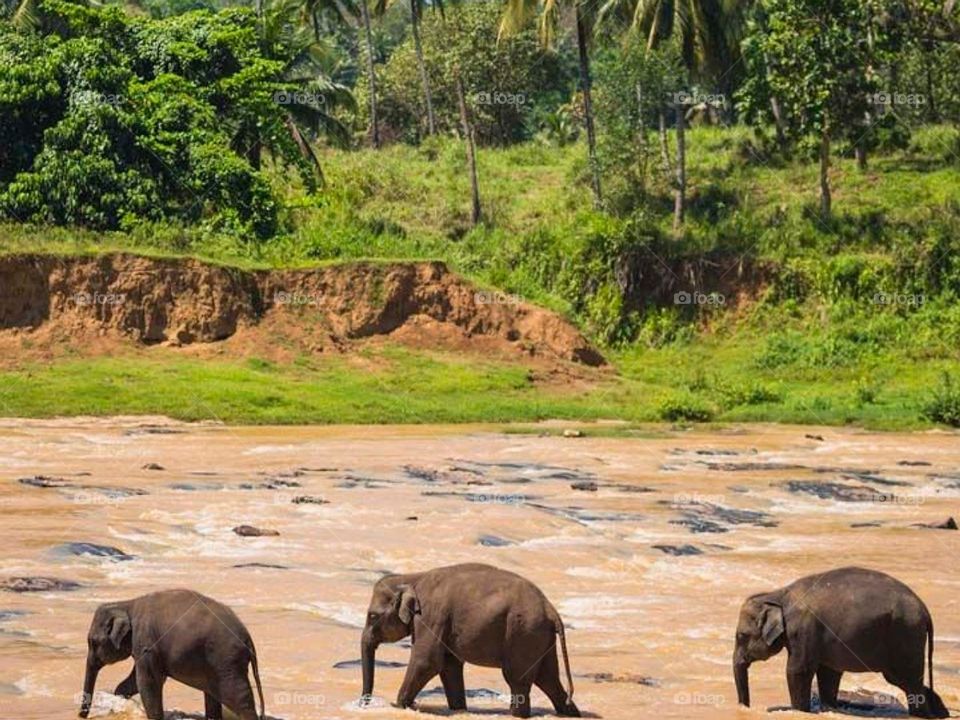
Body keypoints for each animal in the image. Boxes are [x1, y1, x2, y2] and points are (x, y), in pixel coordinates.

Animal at [78, 592, 264, 720]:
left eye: (93, 642)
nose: (81, 715)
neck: (127, 604)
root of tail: (248, 637)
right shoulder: (143, 647)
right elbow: (133, 682)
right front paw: (120, 698)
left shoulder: (147, 643)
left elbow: (148, 682)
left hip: (226, 660)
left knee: (239, 697)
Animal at [360, 564, 580, 716]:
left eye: (372, 616)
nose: (364, 703)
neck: (413, 576)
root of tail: (551, 610)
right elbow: (449, 666)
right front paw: (458, 710)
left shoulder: (431, 615)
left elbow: (427, 661)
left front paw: (399, 705)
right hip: (539, 637)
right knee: (548, 678)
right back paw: (570, 712)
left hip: (523, 632)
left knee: (518, 679)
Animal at [736, 568, 944, 716]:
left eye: (741, 636)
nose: (744, 707)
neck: (777, 594)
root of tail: (925, 610)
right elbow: (829, 671)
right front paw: (829, 708)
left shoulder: (804, 630)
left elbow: (798, 670)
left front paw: (799, 711)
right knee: (906, 680)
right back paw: (939, 713)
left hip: (905, 634)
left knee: (907, 679)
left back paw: (921, 714)